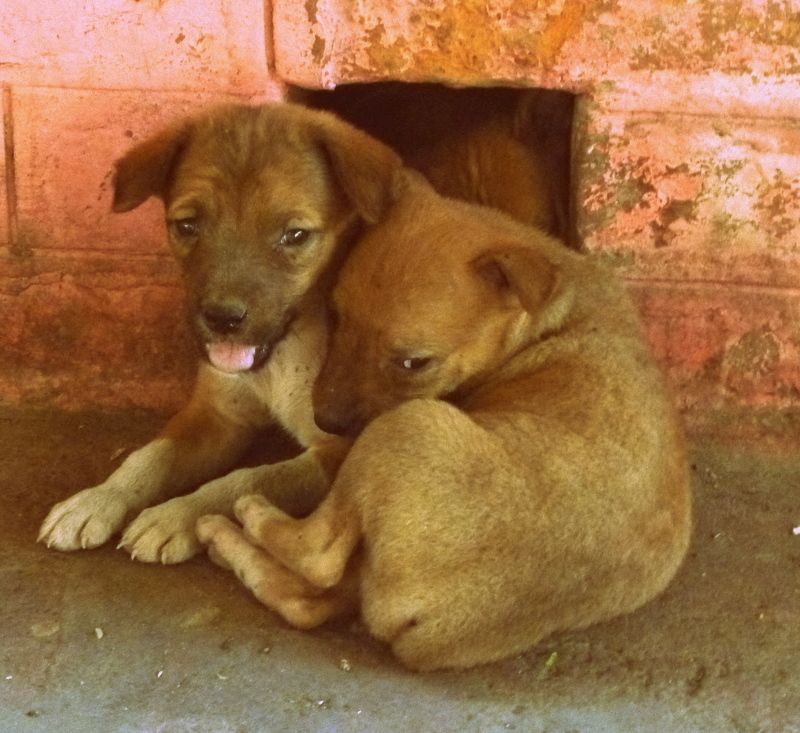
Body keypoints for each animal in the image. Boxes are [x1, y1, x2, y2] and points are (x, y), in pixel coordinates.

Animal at [37, 101, 400, 560]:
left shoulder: (340, 448)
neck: (281, 357)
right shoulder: (216, 412)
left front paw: (174, 516)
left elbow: (249, 481)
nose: (222, 319)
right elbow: (150, 455)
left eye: (296, 234)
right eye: (187, 225)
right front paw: (98, 500)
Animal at [197, 172, 692, 668]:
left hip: (406, 427)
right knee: (307, 600)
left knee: (318, 557)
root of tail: (437, 627)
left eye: (414, 363)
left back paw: (245, 515)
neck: (550, 317)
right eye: (337, 316)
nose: (326, 421)